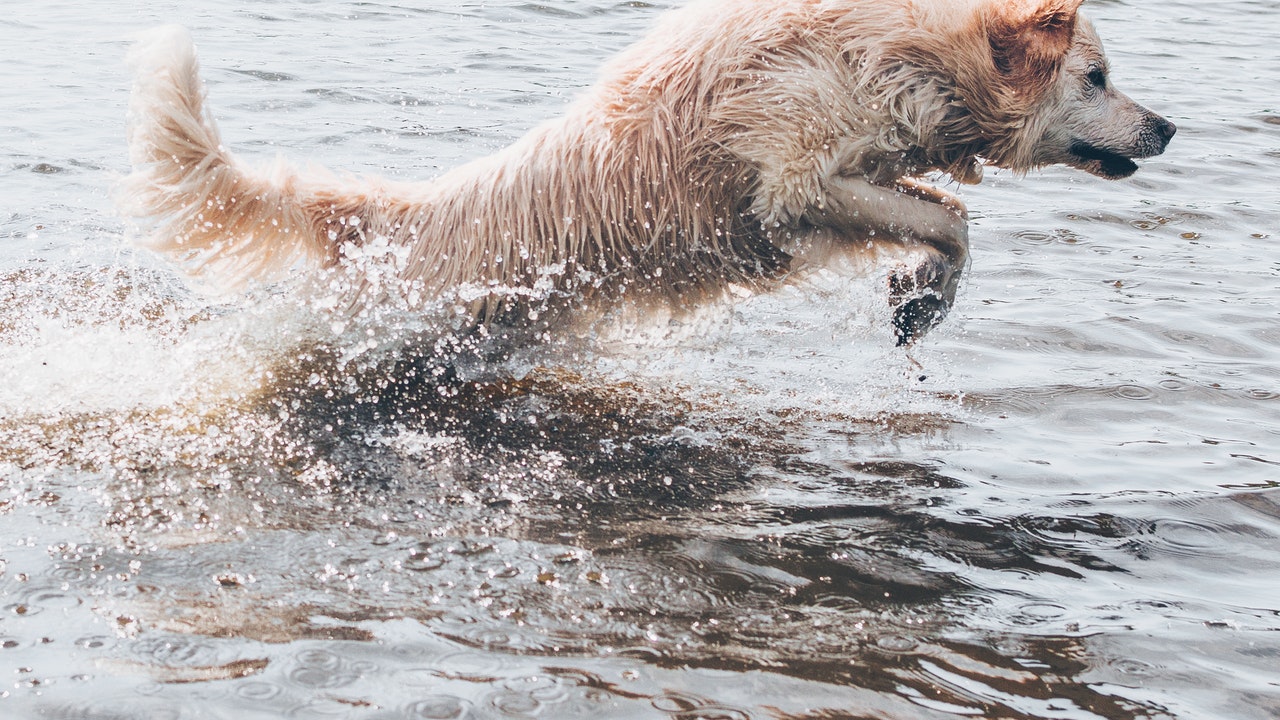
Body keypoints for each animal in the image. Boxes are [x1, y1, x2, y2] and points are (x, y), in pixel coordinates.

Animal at [124, 0, 1172, 345]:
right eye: (1098, 76)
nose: (1167, 126)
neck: (906, 53)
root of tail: (402, 218)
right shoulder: (793, 183)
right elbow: (951, 217)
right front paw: (923, 291)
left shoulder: (841, 182)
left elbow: (942, 215)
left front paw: (921, 297)